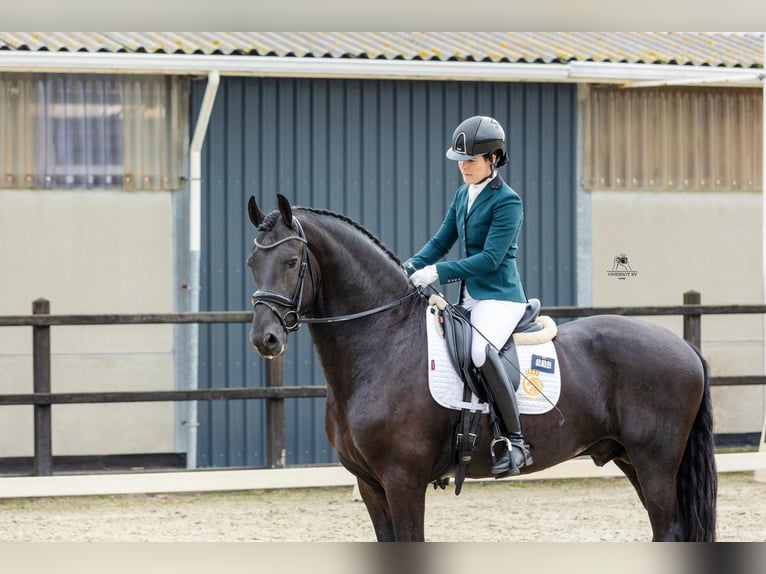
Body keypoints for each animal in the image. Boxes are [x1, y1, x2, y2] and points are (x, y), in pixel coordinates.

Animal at [246, 195, 720, 544]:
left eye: (292, 262)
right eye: (252, 263)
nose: (264, 339)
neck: (383, 340)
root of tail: (685, 347)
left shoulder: (403, 480)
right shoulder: (370, 484)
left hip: (656, 463)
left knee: (668, 532)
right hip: (631, 459)